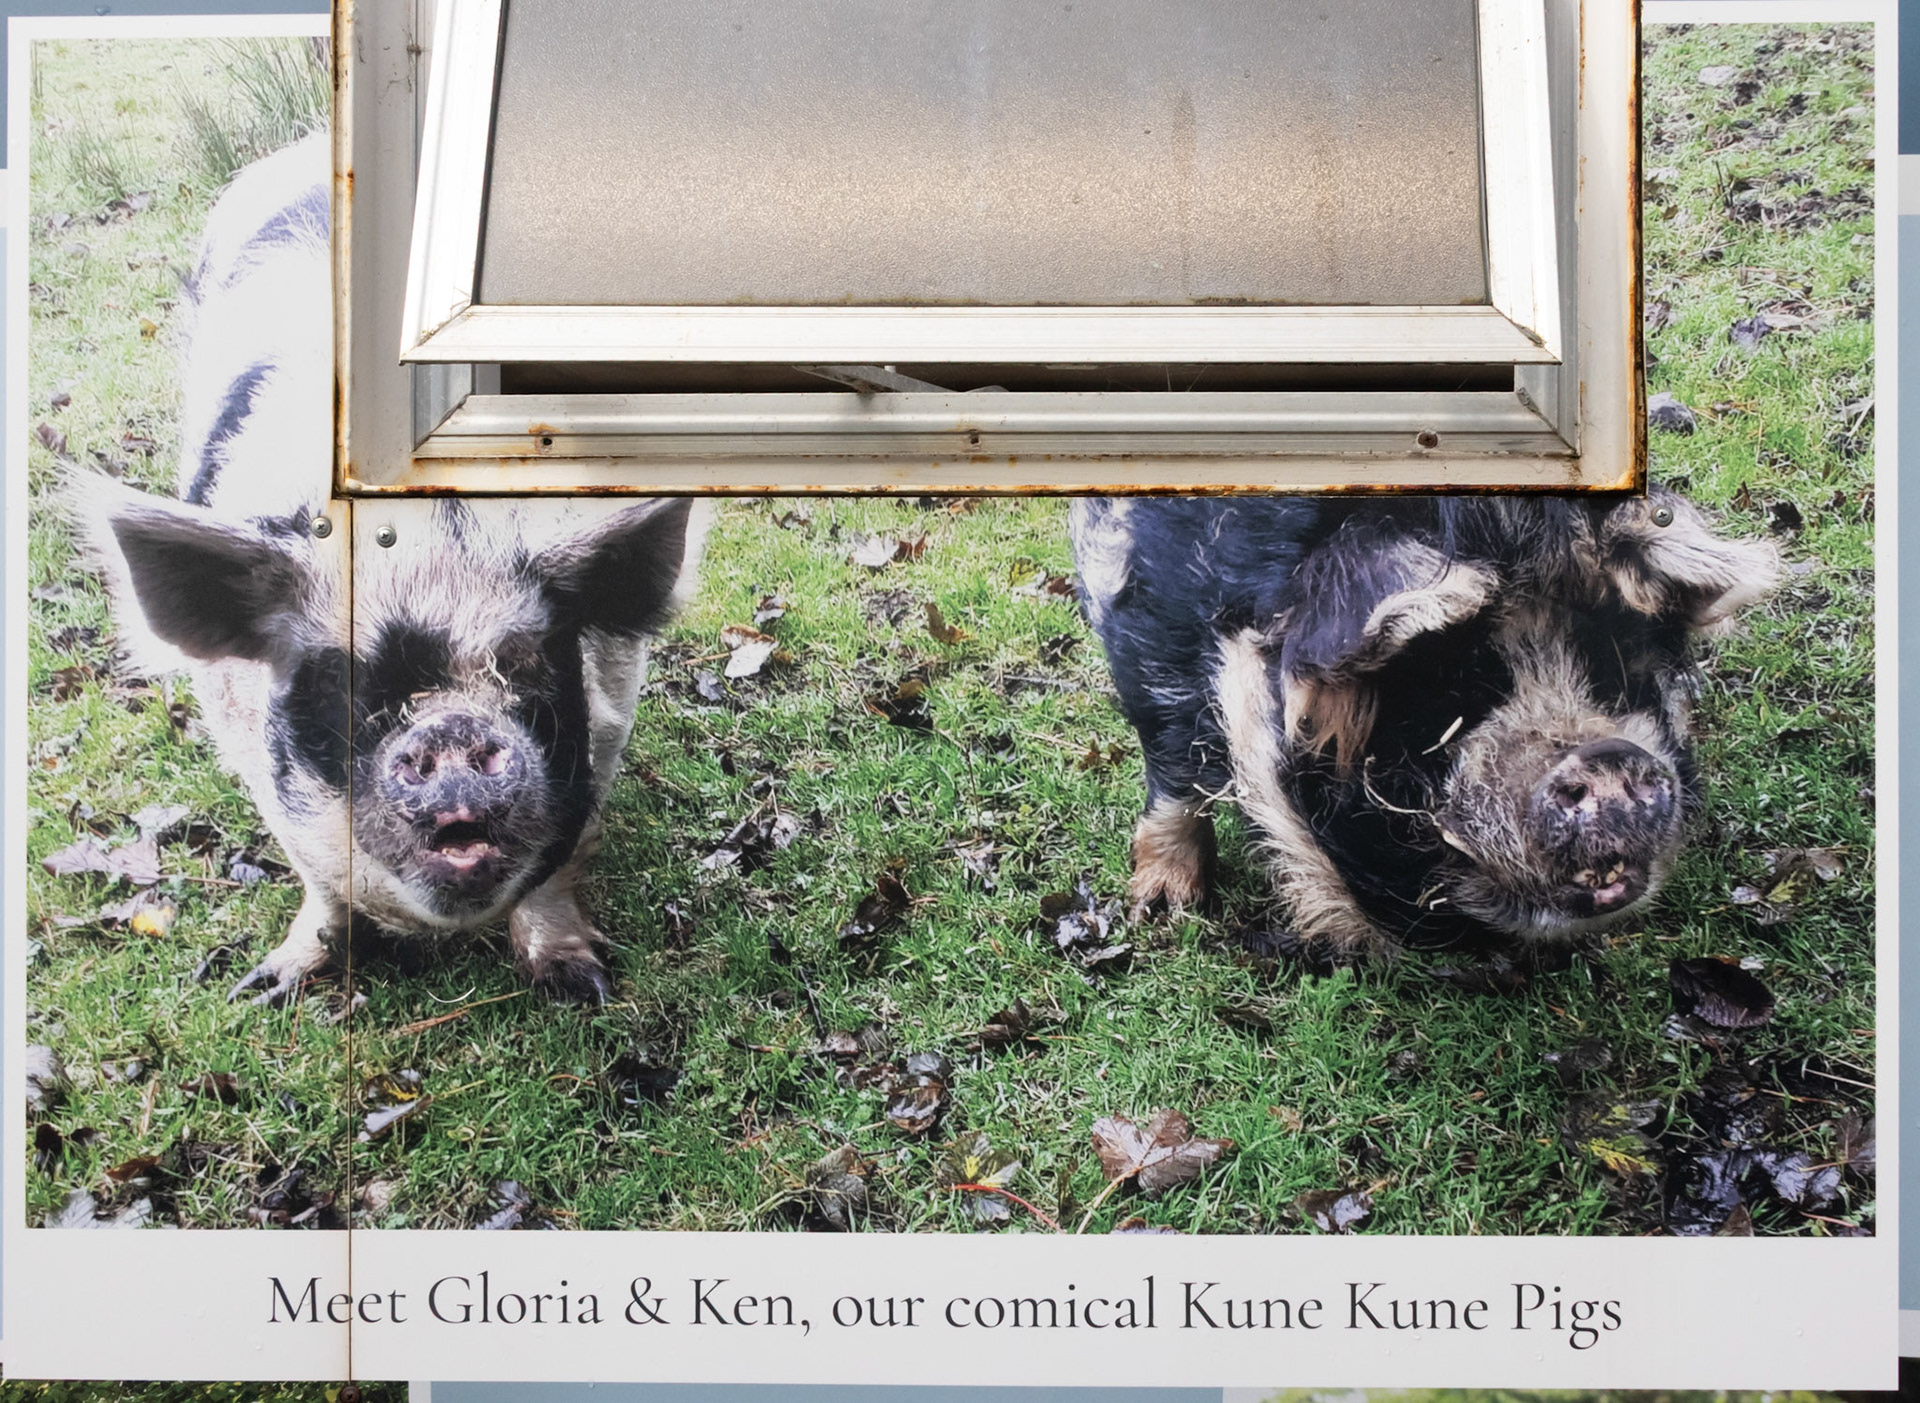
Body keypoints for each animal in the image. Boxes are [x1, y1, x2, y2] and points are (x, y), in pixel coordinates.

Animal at [71, 131, 703, 1005]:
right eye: (339, 679)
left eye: (527, 660)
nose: (450, 726)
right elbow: (318, 880)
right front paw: (265, 987)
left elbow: (558, 865)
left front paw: (584, 986)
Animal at [1069, 492, 1778, 958]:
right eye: (1448, 688)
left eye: (1611, 668)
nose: (1604, 754)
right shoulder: (1147, 610)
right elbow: (1173, 751)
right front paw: (1162, 911)